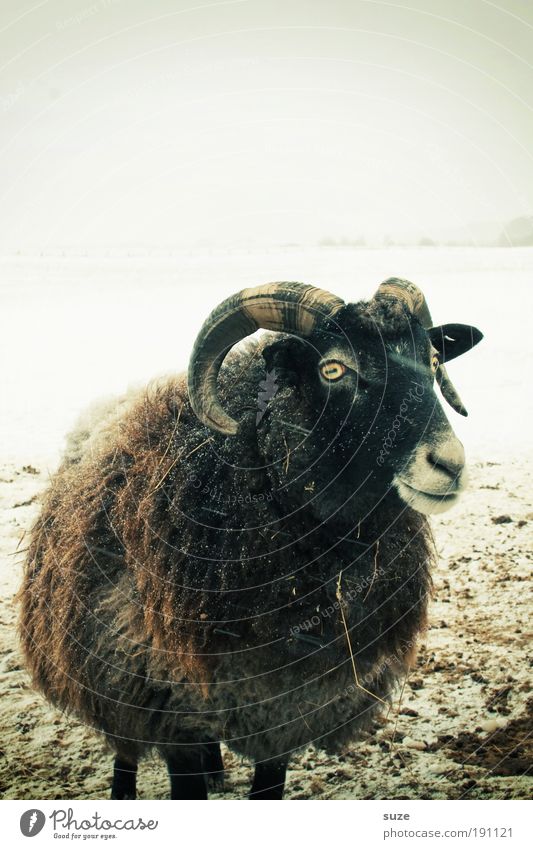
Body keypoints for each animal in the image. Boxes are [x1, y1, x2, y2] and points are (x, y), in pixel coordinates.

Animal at [18, 278, 482, 796]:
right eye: (334, 368)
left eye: (433, 361)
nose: (449, 463)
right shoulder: (166, 706)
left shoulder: (282, 709)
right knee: (125, 747)